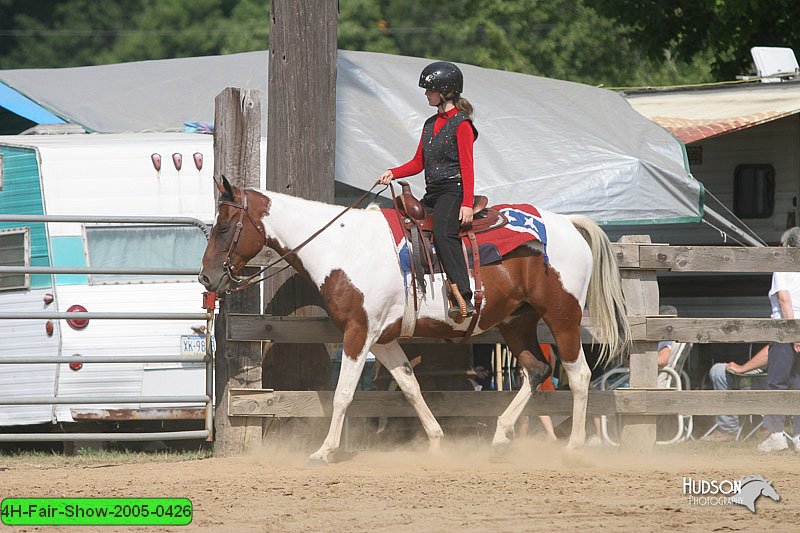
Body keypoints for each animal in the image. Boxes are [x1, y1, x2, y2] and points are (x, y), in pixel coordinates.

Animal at [197, 178, 628, 462]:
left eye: (223, 227)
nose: (206, 279)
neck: (342, 244)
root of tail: (568, 224)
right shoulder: (384, 338)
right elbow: (410, 386)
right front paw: (436, 440)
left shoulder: (359, 333)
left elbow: (343, 394)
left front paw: (325, 449)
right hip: (516, 321)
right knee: (536, 370)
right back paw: (501, 437)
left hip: (562, 316)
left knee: (578, 375)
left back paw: (573, 446)